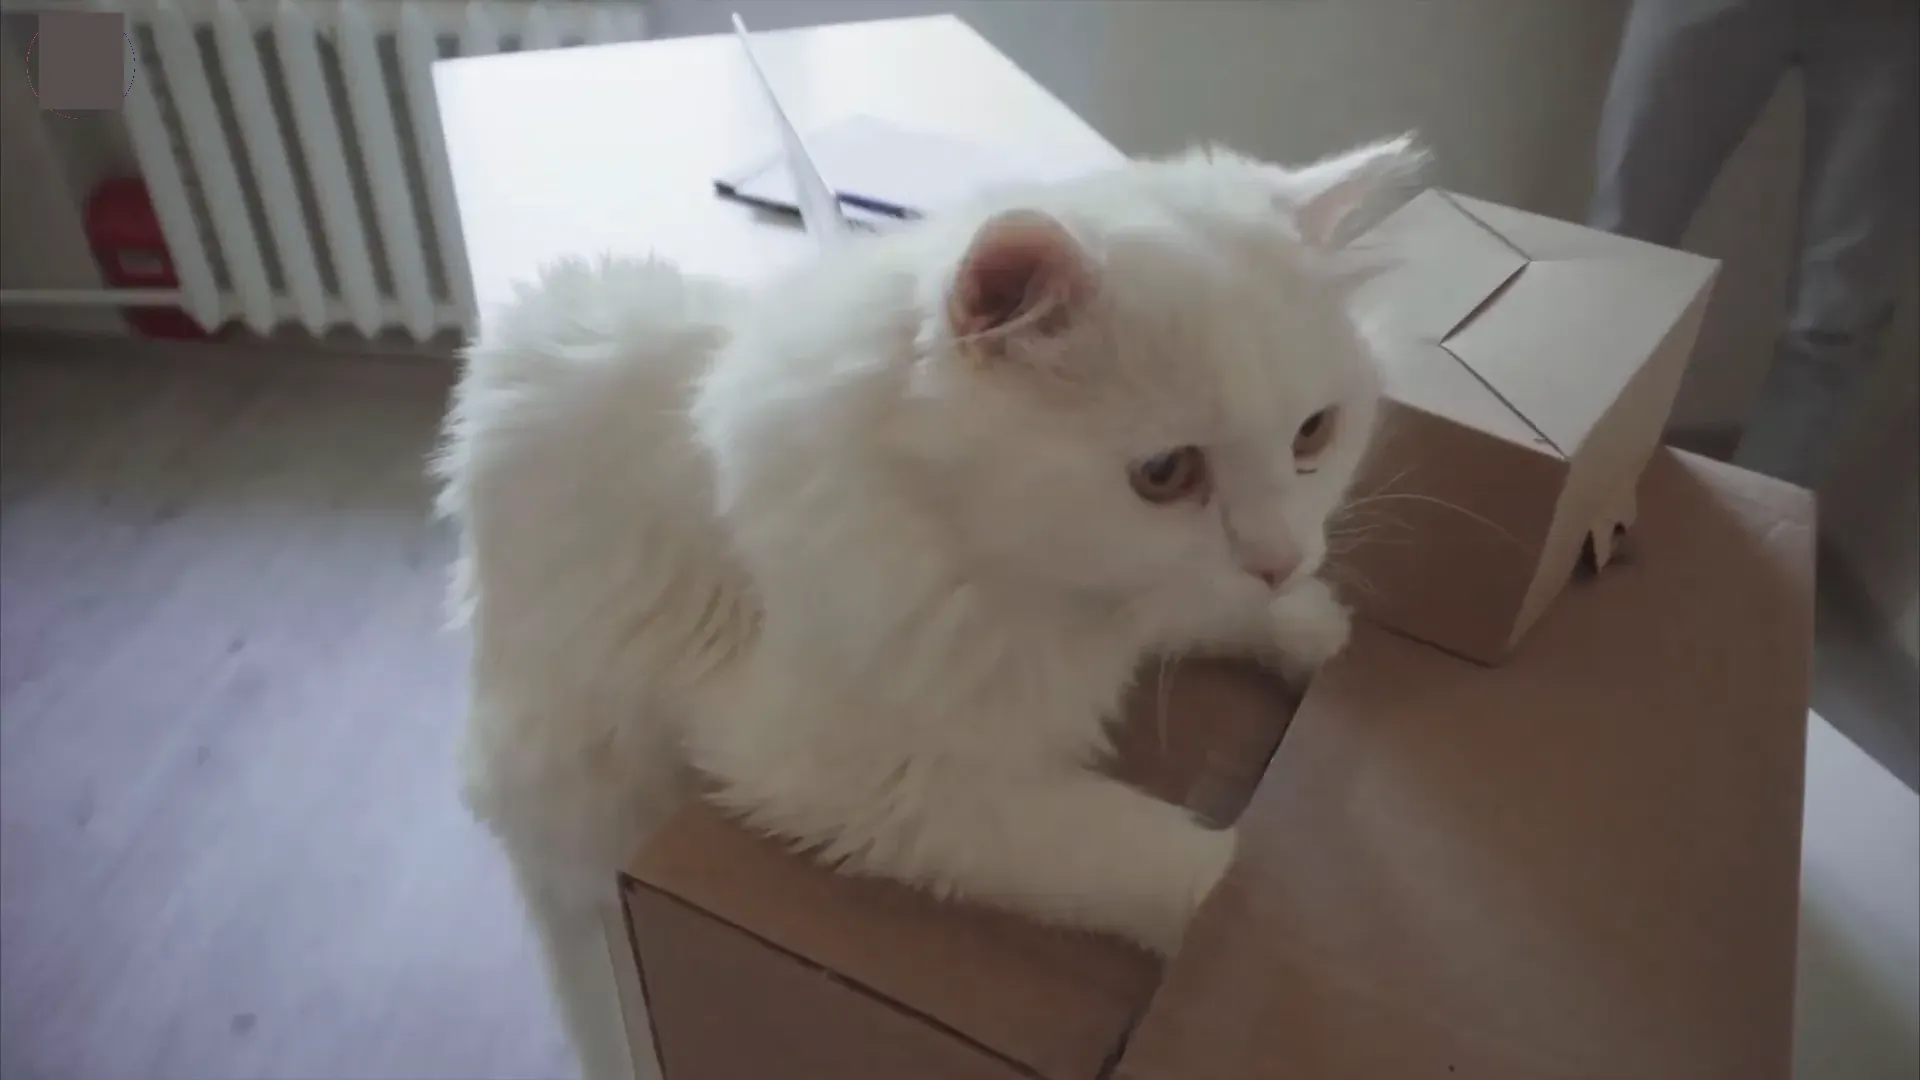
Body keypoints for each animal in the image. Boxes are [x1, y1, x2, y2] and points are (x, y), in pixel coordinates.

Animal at [435, 136, 1428, 1076]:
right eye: (1163, 474)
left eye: (1314, 435)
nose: (1280, 559)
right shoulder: (856, 770)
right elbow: (1155, 855)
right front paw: (1223, 913)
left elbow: (1199, 607)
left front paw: (1308, 621)